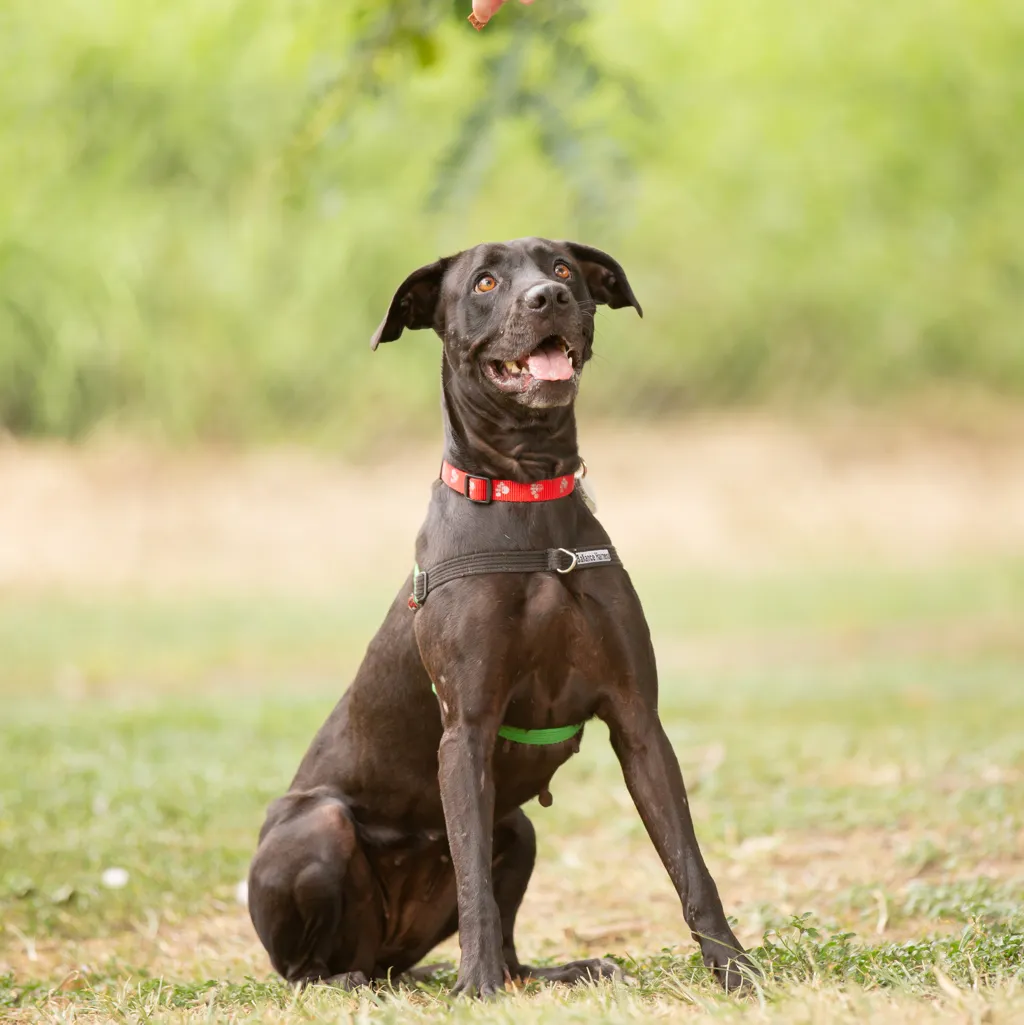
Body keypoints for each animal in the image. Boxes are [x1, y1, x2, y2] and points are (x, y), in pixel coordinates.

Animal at [248, 237, 754, 992]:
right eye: (485, 282)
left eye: (565, 269)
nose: (549, 297)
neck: (529, 495)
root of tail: (389, 956)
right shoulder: (467, 732)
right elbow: (473, 887)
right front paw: (477, 985)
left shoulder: (638, 723)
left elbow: (689, 863)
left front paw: (735, 969)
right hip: (320, 825)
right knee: (307, 964)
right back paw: (352, 981)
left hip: (519, 830)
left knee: (512, 943)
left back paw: (559, 970)